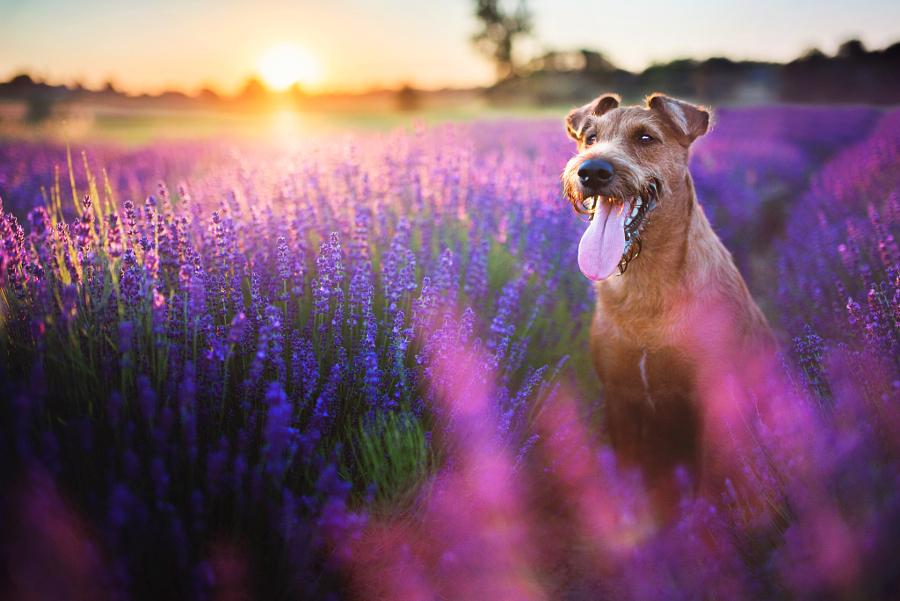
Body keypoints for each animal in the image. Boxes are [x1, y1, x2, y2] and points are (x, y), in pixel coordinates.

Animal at [564, 94, 772, 516]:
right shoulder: (619, 396)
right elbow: (627, 471)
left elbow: (711, 483)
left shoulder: (712, 401)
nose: (592, 170)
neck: (646, 285)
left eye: (645, 137)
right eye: (590, 137)